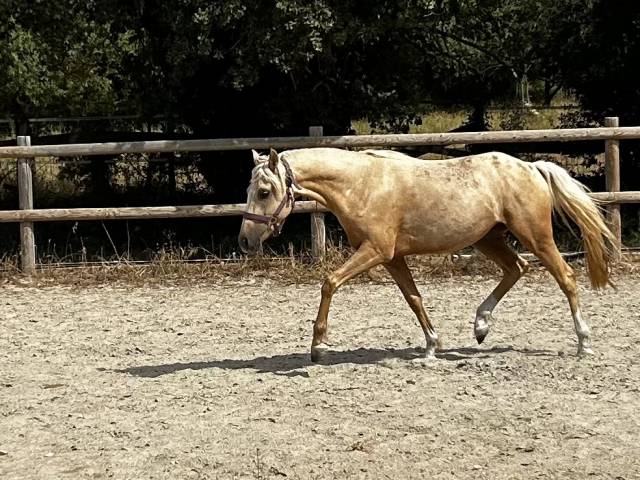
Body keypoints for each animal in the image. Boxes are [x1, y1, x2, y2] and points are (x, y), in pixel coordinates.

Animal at [238, 147, 616, 362]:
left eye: (264, 191)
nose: (244, 241)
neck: (362, 184)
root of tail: (531, 167)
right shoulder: (391, 257)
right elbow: (414, 298)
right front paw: (433, 345)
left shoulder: (376, 250)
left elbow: (329, 282)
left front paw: (318, 346)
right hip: (488, 238)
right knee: (517, 268)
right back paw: (480, 326)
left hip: (535, 236)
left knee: (565, 277)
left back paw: (584, 344)